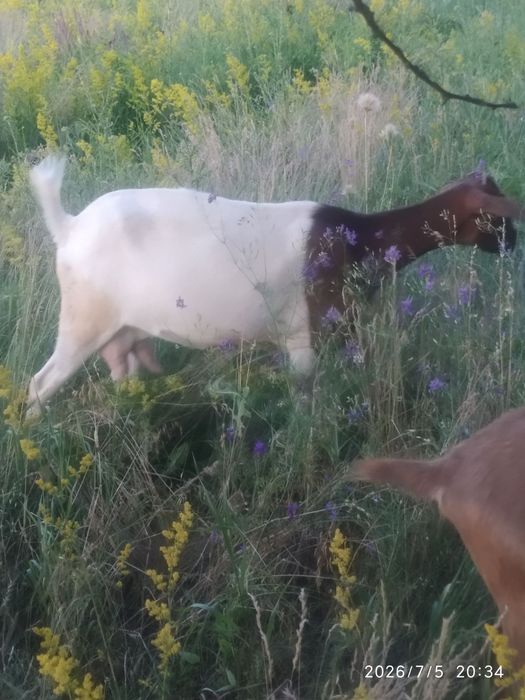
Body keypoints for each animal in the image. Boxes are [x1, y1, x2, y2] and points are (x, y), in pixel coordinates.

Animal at [27, 156, 522, 414]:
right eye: (497, 216)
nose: (514, 242)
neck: (360, 243)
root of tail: (68, 226)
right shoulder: (308, 334)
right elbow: (306, 398)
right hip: (83, 319)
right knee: (41, 382)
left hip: (121, 332)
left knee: (122, 373)